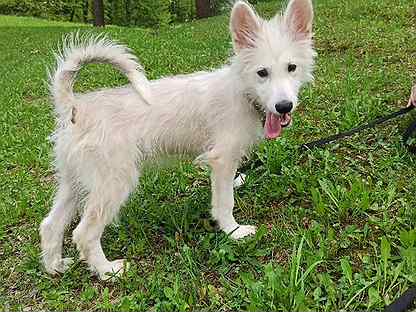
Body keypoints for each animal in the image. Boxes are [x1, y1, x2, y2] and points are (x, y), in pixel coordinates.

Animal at [39, 0, 316, 280]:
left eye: (292, 68)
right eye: (262, 73)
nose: (284, 106)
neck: (243, 91)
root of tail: (75, 107)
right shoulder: (222, 159)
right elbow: (224, 202)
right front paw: (233, 231)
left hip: (76, 182)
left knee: (50, 224)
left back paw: (55, 266)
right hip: (113, 182)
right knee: (84, 233)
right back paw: (107, 270)